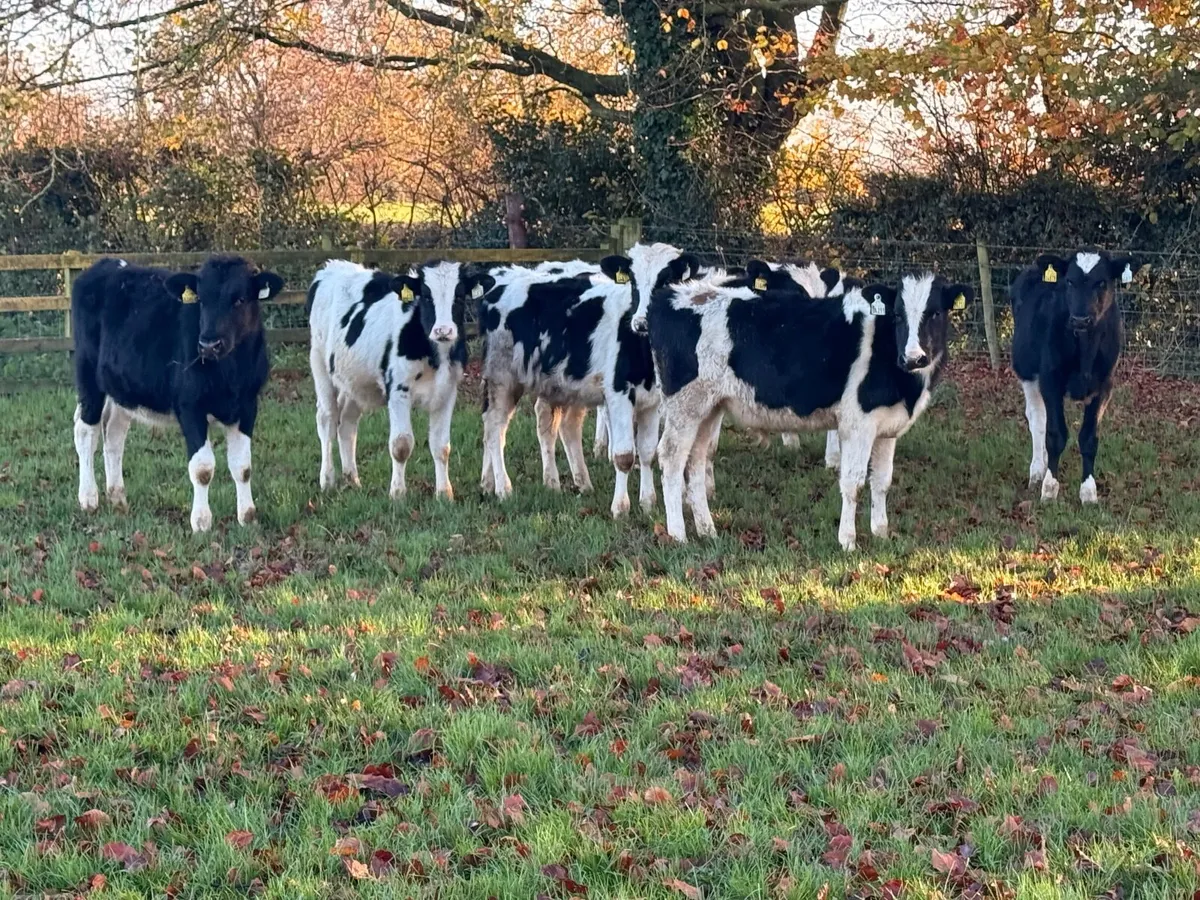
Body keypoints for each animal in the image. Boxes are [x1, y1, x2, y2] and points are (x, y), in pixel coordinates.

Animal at [71, 255, 283, 532]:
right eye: (201, 299)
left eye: (240, 299)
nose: (208, 345)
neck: (230, 374)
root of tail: (104, 264)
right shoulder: (190, 406)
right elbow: (203, 468)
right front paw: (201, 523)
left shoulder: (248, 405)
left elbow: (243, 466)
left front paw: (247, 517)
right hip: (87, 374)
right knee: (86, 431)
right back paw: (88, 498)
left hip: (122, 387)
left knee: (114, 434)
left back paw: (117, 498)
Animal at [307, 259, 487, 501]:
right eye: (426, 296)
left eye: (459, 296)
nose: (443, 330)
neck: (434, 356)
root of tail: (332, 266)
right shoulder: (398, 390)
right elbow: (401, 445)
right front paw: (398, 494)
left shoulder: (447, 391)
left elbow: (441, 446)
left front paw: (444, 493)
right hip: (320, 363)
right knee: (327, 419)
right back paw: (327, 480)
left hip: (356, 380)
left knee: (347, 422)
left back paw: (352, 479)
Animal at [477, 265, 659, 518]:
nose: (643, 323)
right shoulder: (619, 395)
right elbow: (624, 455)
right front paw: (620, 509)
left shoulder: (654, 402)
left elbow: (648, 452)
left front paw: (648, 503)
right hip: (502, 376)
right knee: (495, 427)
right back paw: (503, 488)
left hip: (562, 385)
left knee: (558, 426)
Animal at [635, 270, 971, 550]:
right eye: (899, 315)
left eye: (935, 313)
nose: (913, 357)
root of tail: (671, 295)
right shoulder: (858, 424)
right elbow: (853, 482)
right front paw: (847, 541)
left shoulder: (887, 428)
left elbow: (881, 482)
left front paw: (880, 533)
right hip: (685, 405)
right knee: (671, 457)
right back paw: (678, 534)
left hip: (708, 408)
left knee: (695, 460)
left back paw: (707, 530)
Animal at [1011, 249, 1140, 503]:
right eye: (1069, 281)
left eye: (1102, 282)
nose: (1080, 319)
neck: (1085, 353)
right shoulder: (1050, 381)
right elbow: (1055, 434)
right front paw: (1050, 489)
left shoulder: (1104, 387)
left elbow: (1089, 439)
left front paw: (1088, 493)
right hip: (1028, 371)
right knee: (1037, 419)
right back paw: (1037, 472)